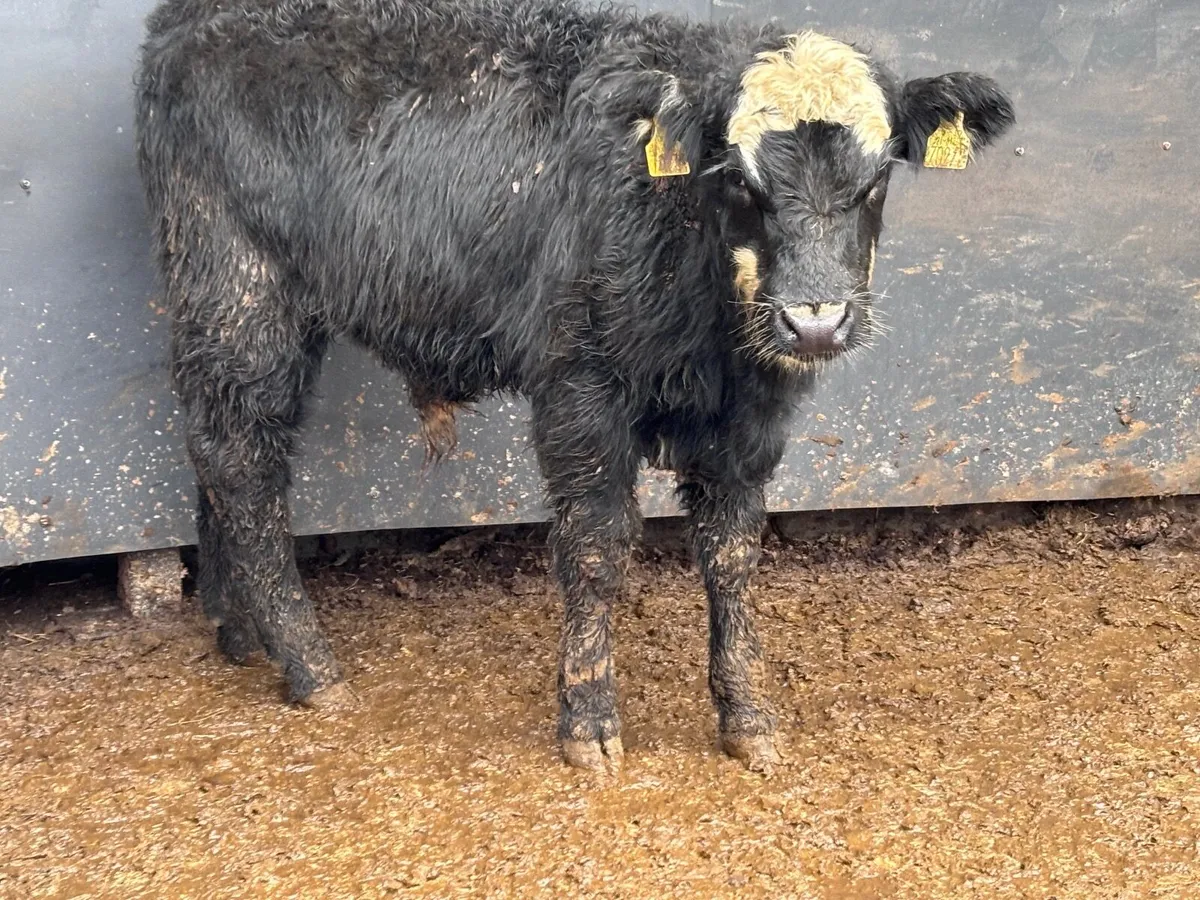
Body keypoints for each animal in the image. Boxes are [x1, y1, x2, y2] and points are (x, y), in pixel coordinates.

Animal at [134, 0, 1014, 772]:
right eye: (738, 177)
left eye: (878, 177)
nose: (816, 322)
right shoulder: (579, 389)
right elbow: (595, 548)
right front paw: (589, 723)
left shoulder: (752, 419)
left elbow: (732, 554)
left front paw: (747, 716)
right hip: (237, 288)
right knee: (243, 463)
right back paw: (310, 665)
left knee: (222, 457)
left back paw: (239, 630)